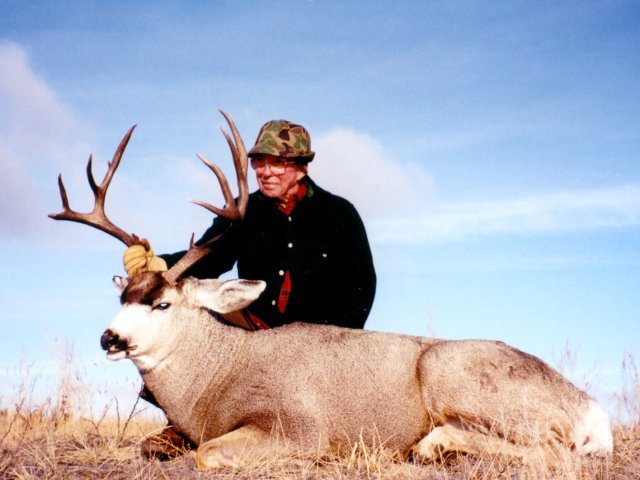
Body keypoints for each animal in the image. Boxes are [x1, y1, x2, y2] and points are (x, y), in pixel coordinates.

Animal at [48, 111, 608, 468]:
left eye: (162, 303)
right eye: (122, 296)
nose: (110, 338)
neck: (218, 381)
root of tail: (590, 407)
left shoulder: (300, 426)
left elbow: (208, 455)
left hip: (459, 377)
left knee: (554, 449)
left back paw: (435, 444)